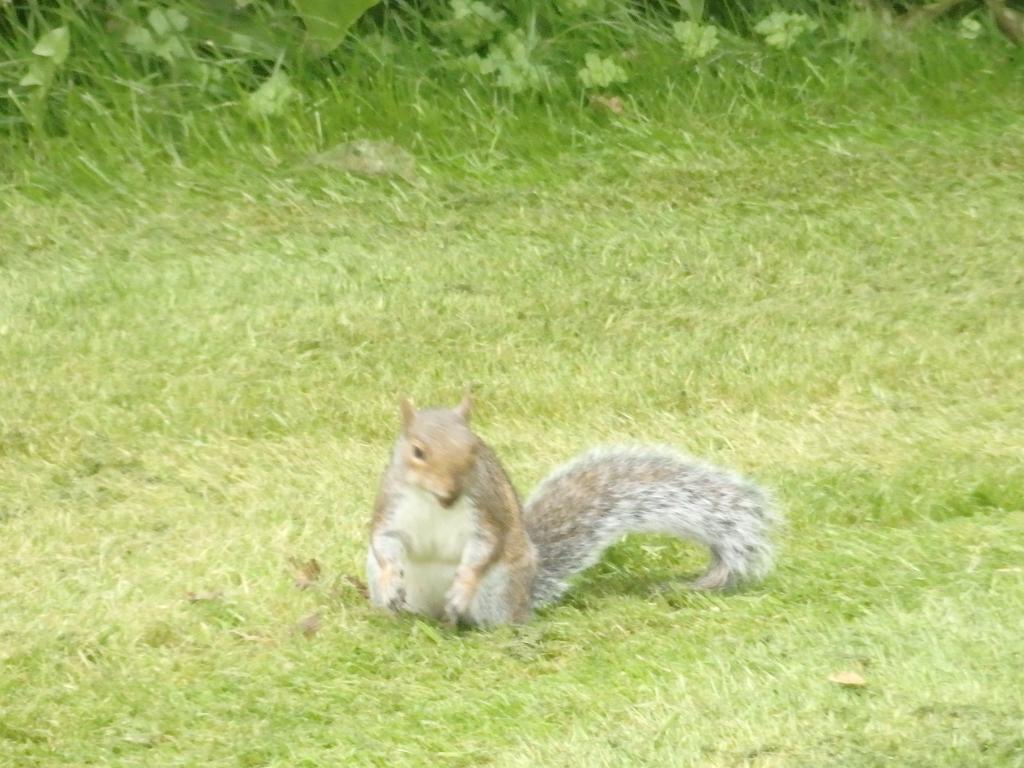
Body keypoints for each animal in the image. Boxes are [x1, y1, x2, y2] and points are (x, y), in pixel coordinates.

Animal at [366, 393, 774, 626]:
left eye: (475, 449)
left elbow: (483, 552)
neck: (436, 502)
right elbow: (384, 543)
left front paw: (463, 585)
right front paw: (390, 579)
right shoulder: (391, 507)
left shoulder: (486, 515)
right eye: (417, 451)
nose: (451, 491)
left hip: (501, 589)